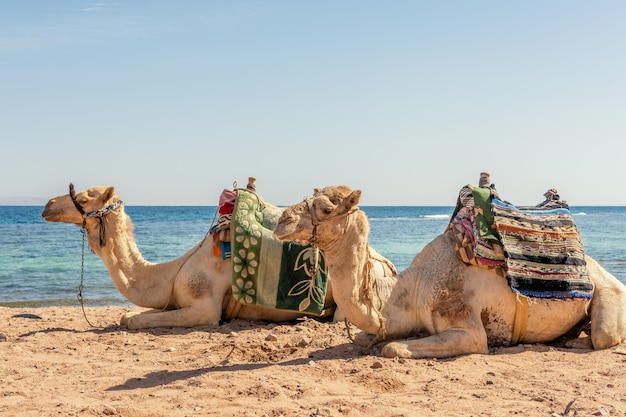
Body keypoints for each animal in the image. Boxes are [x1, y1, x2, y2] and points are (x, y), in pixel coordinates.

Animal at [40, 182, 342, 328]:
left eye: (84, 198)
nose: (48, 205)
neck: (170, 272)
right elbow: (127, 315)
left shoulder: (204, 309)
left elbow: (134, 320)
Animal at [272, 185, 624, 358]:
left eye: (326, 209)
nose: (281, 221)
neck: (410, 292)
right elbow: (365, 338)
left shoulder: (467, 327)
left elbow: (391, 348)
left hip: (609, 291)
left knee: (605, 336)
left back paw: (578, 343)